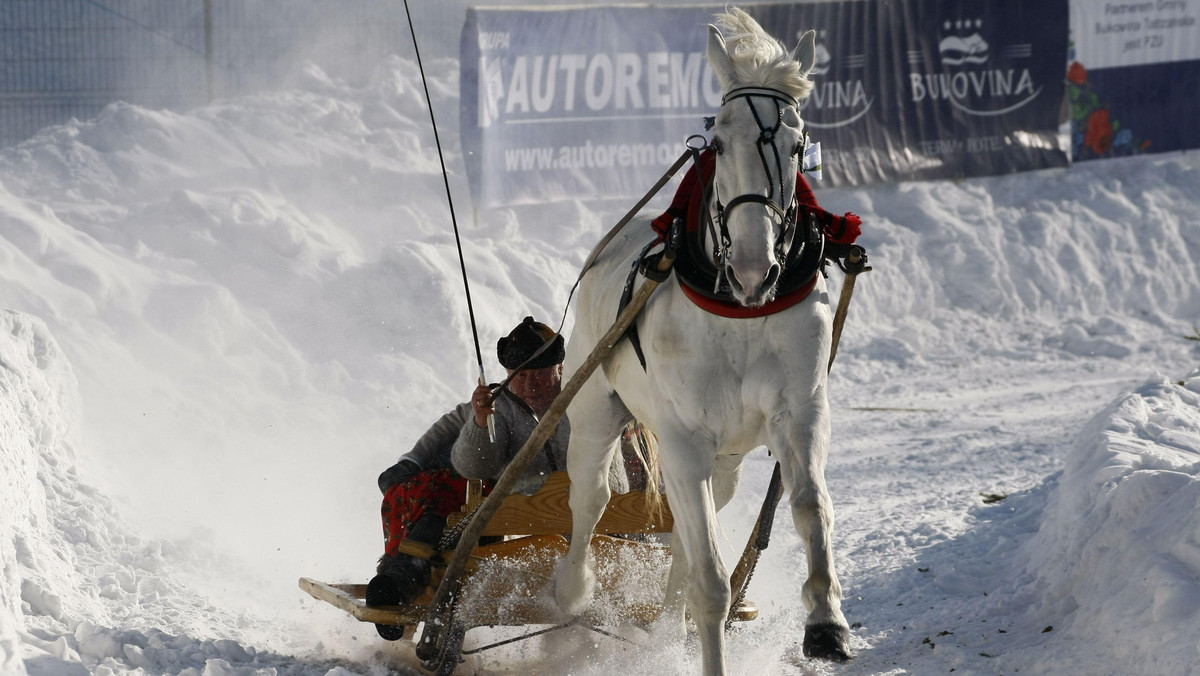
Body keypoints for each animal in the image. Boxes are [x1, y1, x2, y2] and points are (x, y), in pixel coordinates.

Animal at [554, 6, 854, 676]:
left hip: (726, 459)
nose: (752, 267)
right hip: (594, 410)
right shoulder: (683, 439)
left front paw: (827, 622)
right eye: (718, 141)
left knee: (695, 533)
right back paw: (572, 593)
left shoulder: (800, 412)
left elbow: (809, 505)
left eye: (798, 145)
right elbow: (713, 581)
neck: (738, 313)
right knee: (590, 498)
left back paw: (668, 622)